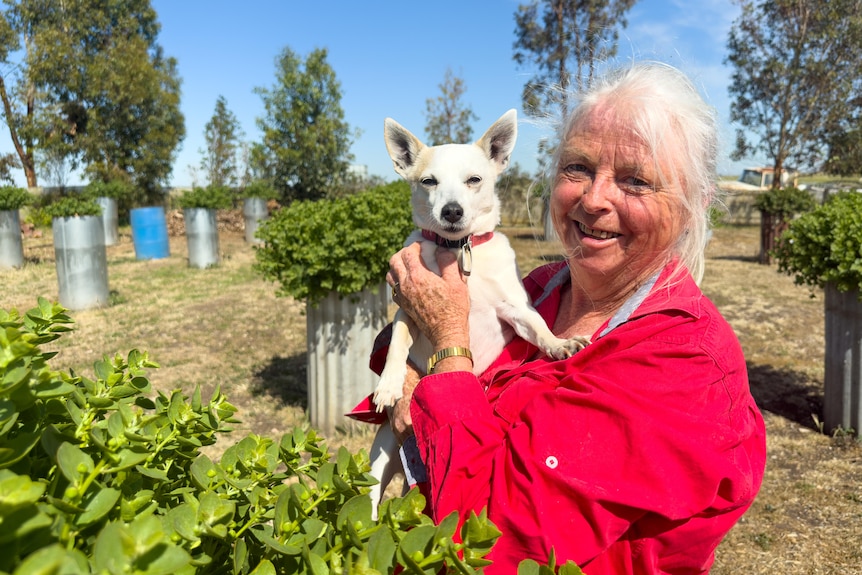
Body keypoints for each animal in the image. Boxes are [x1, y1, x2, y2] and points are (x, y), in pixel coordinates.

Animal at [368, 110, 592, 516]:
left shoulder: (514, 309)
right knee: (370, 500)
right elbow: (396, 344)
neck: (458, 249)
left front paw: (559, 344)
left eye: (475, 180)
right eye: (428, 181)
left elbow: (538, 325)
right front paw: (390, 383)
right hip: (382, 455)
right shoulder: (407, 310)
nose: (452, 210)